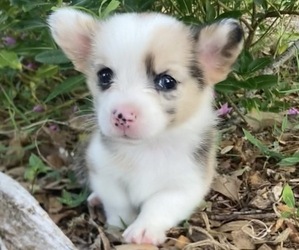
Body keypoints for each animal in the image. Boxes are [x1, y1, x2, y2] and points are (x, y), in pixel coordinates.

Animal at [47, 8, 244, 246]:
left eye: (167, 81)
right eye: (104, 75)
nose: (122, 115)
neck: (147, 147)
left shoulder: (185, 185)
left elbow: (159, 205)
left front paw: (143, 229)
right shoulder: (103, 171)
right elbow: (118, 202)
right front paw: (118, 223)